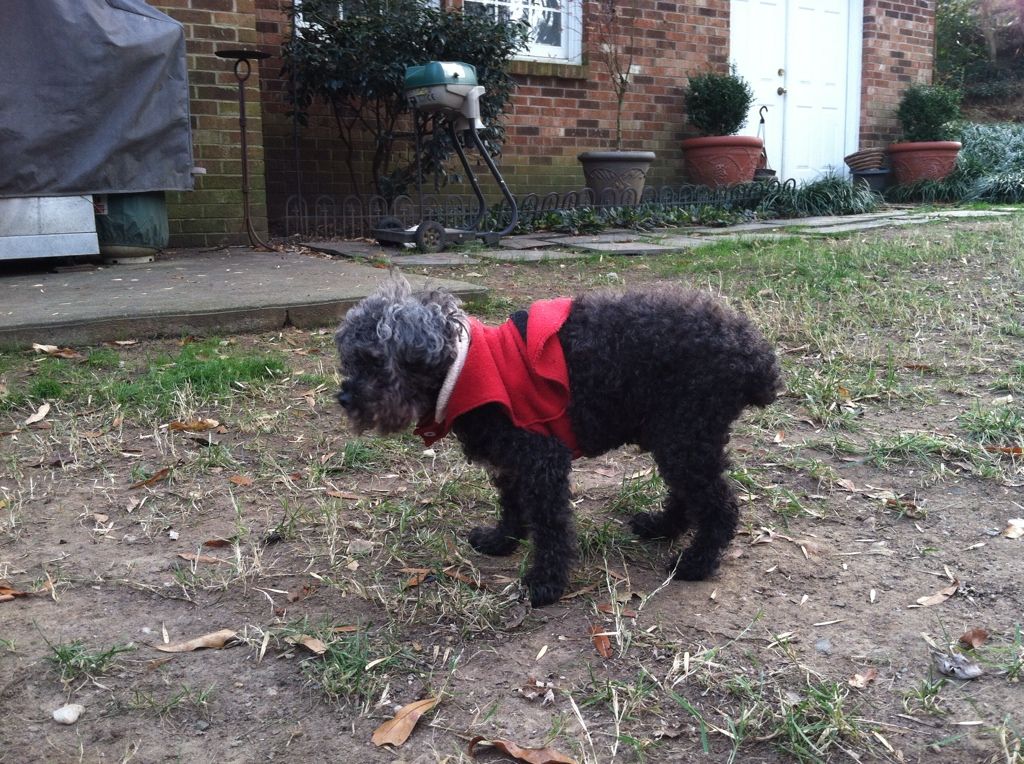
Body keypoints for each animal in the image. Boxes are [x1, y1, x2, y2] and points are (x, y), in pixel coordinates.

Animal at [335, 270, 782, 602]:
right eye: (348, 361)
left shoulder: (542, 461)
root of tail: (755, 355)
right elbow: (512, 507)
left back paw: (696, 563)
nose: (344, 397)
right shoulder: (511, 463)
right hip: (676, 435)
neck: (465, 372)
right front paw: (501, 540)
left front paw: (545, 583)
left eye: (372, 360)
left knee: (720, 506)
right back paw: (660, 527)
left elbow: (551, 525)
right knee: (688, 495)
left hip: (685, 434)